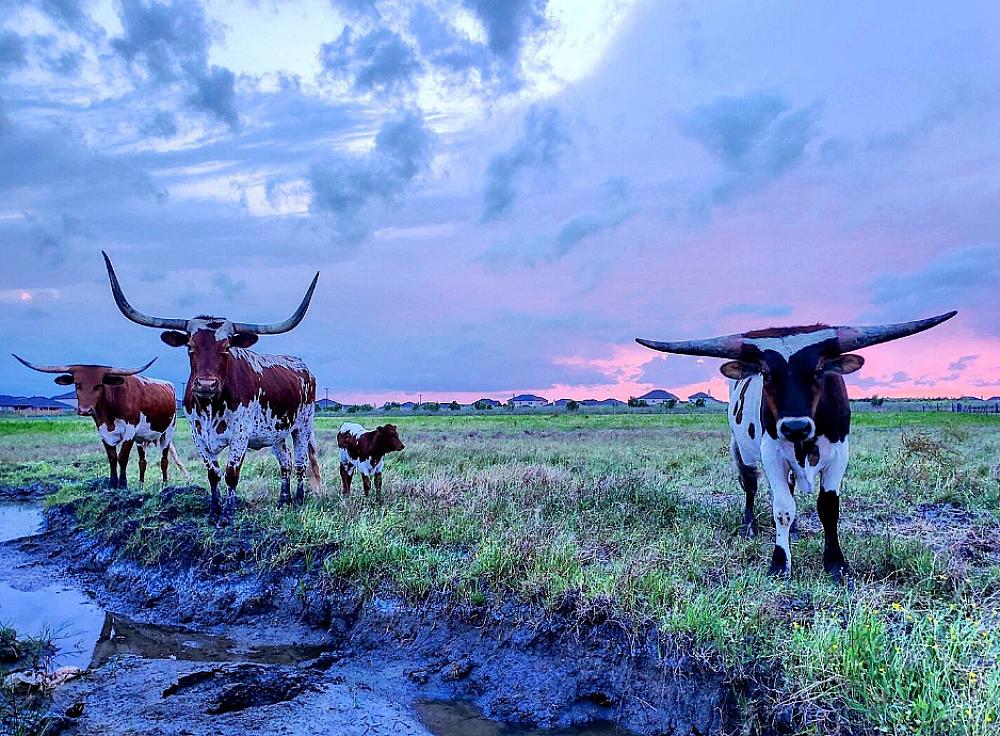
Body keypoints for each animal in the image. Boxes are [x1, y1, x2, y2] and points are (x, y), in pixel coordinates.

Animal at [12, 355, 186, 488]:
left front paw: (123, 484)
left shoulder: (130, 432)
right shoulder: (103, 432)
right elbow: (112, 458)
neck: (110, 410)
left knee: (164, 460)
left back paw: (164, 483)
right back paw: (141, 484)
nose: (85, 410)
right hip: (141, 439)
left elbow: (122, 457)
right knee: (142, 461)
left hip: (167, 433)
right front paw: (112, 484)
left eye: (99, 385)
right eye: (77, 384)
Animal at [101, 251, 322, 519]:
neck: (210, 407)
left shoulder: (240, 435)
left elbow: (231, 474)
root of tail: (302, 366)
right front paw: (214, 508)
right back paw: (283, 498)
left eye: (226, 348)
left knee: (300, 463)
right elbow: (213, 474)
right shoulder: (198, 435)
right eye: (190, 347)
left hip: (302, 426)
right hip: (276, 432)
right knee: (285, 461)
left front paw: (228, 511)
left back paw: (298, 499)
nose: (206, 384)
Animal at [636, 311, 957, 582]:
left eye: (818, 370)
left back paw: (798, 530)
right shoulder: (771, 452)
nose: (795, 427)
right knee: (751, 485)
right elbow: (782, 508)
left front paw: (835, 563)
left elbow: (828, 507)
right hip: (742, 449)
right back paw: (749, 526)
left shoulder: (840, 453)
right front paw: (780, 562)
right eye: (766, 374)